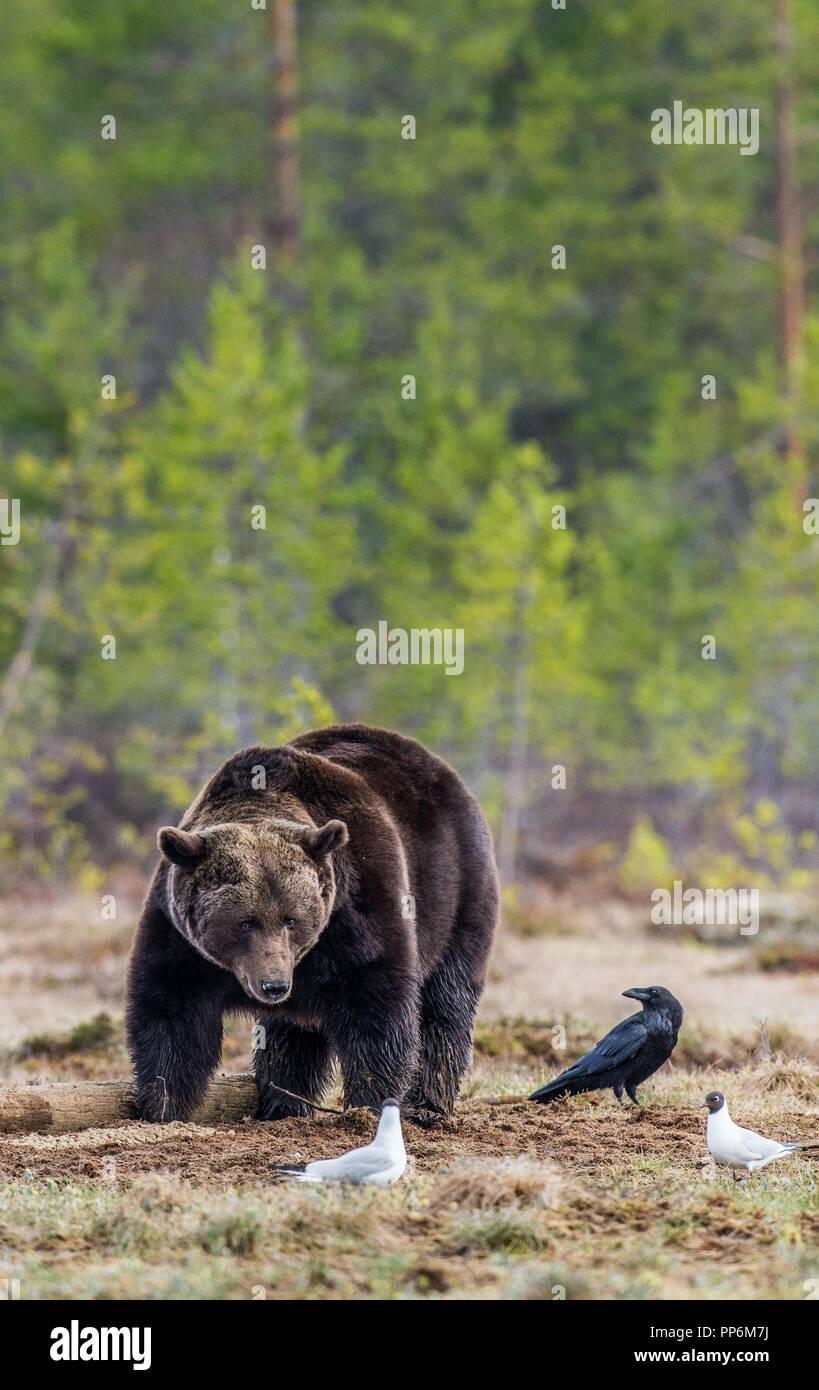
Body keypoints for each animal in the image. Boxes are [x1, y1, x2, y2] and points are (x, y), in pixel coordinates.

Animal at [126, 723, 499, 1123]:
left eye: (291, 919)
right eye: (245, 922)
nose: (273, 985)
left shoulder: (355, 913)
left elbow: (378, 1007)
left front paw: (368, 1104)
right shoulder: (180, 938)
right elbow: (170, 1013)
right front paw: (163, 1106)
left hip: (457, 892)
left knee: (447, 999)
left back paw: (429, 1103)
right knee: (289, 1034)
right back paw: (284, 1101)